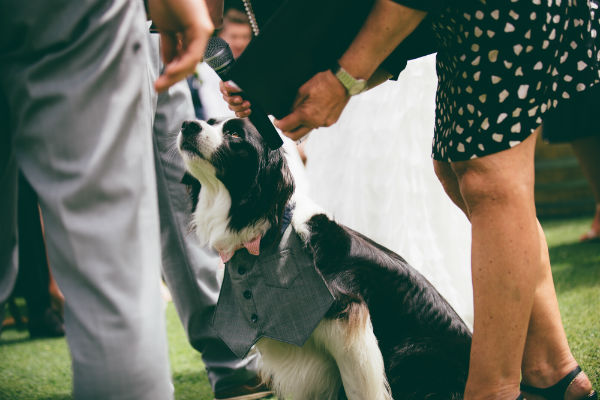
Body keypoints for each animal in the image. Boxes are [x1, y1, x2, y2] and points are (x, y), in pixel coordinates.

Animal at [178, 117, 474, 400]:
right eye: (210, 122)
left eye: (235, 134)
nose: (188, 125)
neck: (266, 235)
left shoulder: (348, 322)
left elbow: (359, 390)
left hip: (411, 352)